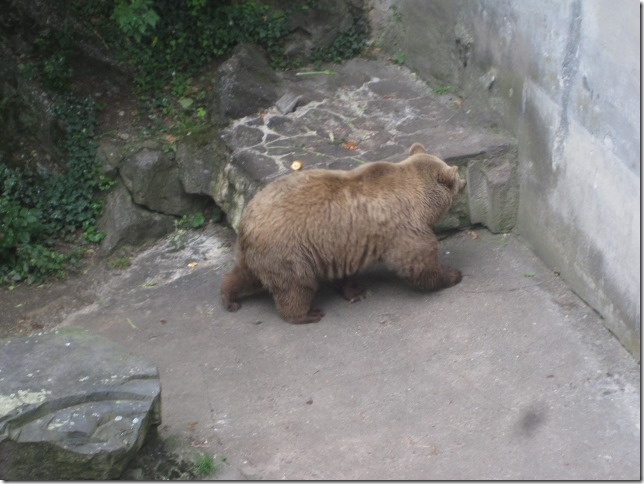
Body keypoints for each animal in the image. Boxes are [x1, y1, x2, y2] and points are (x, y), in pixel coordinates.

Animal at [220, 144, 462, 326]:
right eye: (457, 177)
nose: (464, 182)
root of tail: (246, 220)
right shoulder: (403, 226)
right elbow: (419, 262)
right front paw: (452, 274)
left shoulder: (344, 244)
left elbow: (345, 271)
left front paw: (355, 290)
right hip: (288, 252)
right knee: (296, 286)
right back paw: (307, 314)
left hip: (257, 253)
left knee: (245, 275)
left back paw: (230, 297)